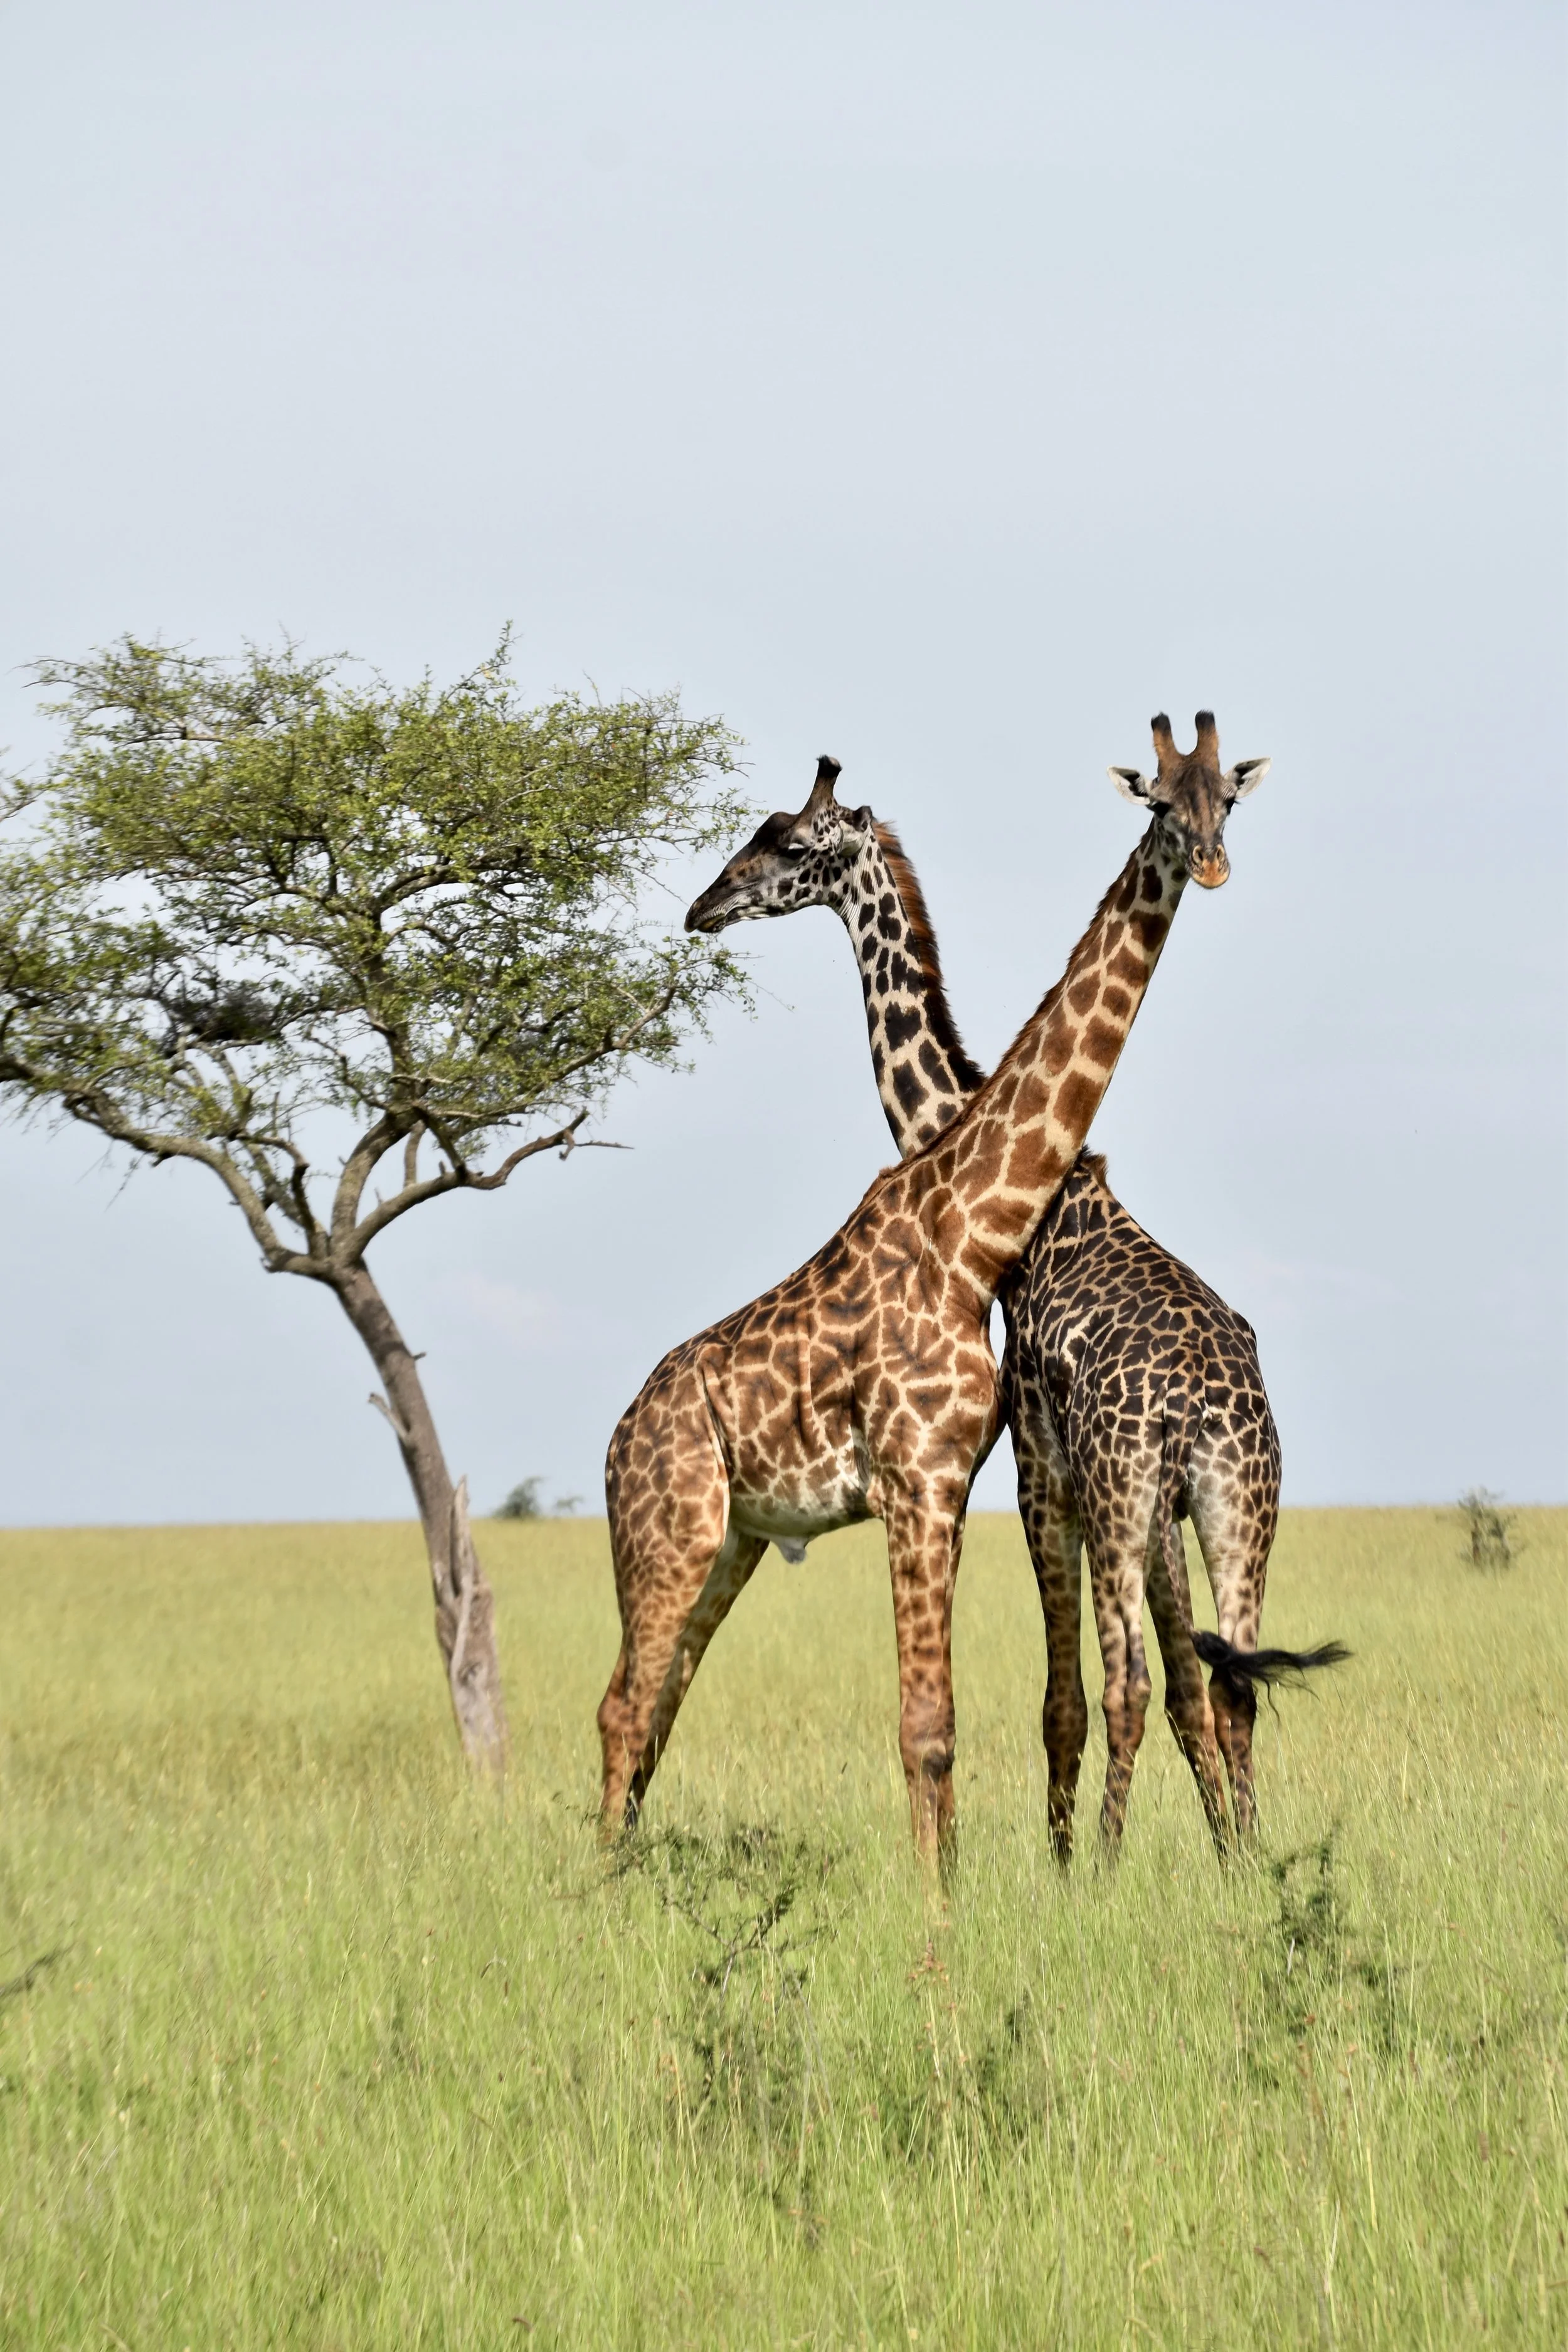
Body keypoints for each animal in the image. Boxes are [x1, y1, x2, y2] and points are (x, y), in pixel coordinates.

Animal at [599, 717, 1262, 1865]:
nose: (703, 906)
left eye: (786, 843)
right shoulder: (963, 1477)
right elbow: (959, 1722)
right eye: (1160, 803)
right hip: (679, 1534)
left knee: (651, 1702)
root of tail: (617, 1439)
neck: (972, 1224)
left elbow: (969, 1721)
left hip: (728, 1540)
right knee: (627, 1705)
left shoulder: (970, 1478)